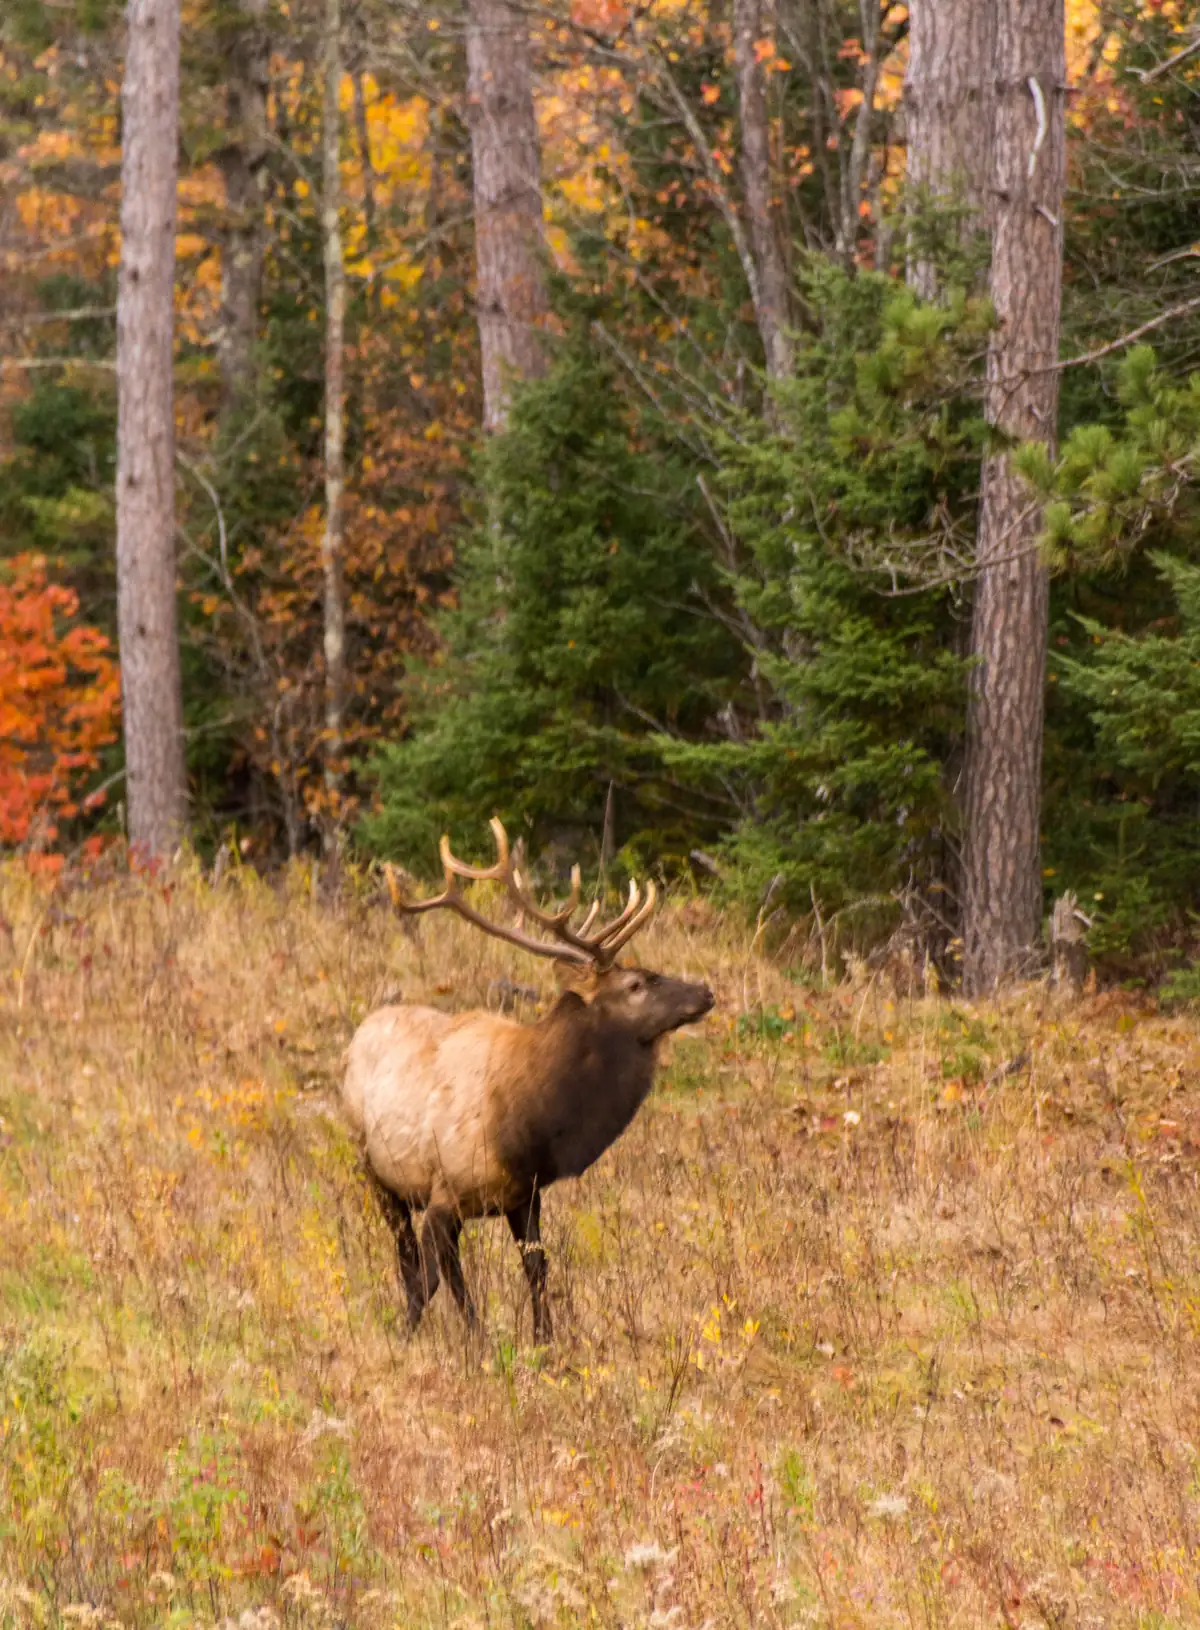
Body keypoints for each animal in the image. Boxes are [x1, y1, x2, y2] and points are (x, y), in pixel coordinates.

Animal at [341, 819, 714, 1342]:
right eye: (636, 984)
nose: (705, 991)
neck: (530, 1126)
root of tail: (358, 1034)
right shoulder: (443, 1192)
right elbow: (434, 1277)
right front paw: (419, 1337)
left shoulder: (525, 1195)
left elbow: (537, 1268)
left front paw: (545, 1341)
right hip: (374, 1169)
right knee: (411, 1257)